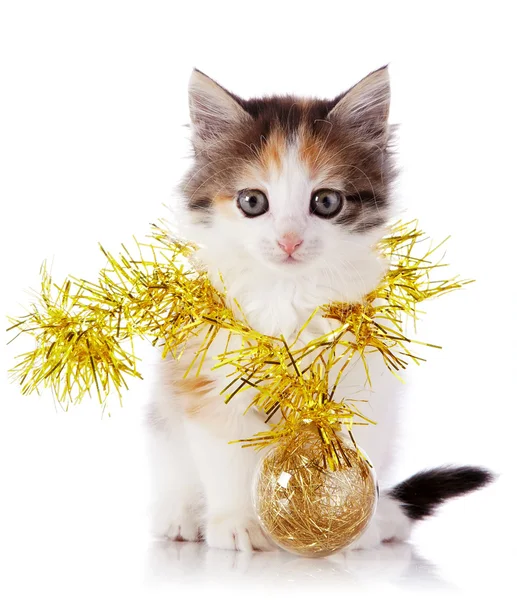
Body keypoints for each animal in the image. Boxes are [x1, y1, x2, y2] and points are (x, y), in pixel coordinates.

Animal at [146, 68, 492, 552]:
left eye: (326, 201)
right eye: (252, 201)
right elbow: (226, 454)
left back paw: (385, 519)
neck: (291, 295)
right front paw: (236, 523)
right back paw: (180, 516)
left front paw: (349, 526)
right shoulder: (209, 373)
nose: (289, 240)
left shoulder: (361, 374)